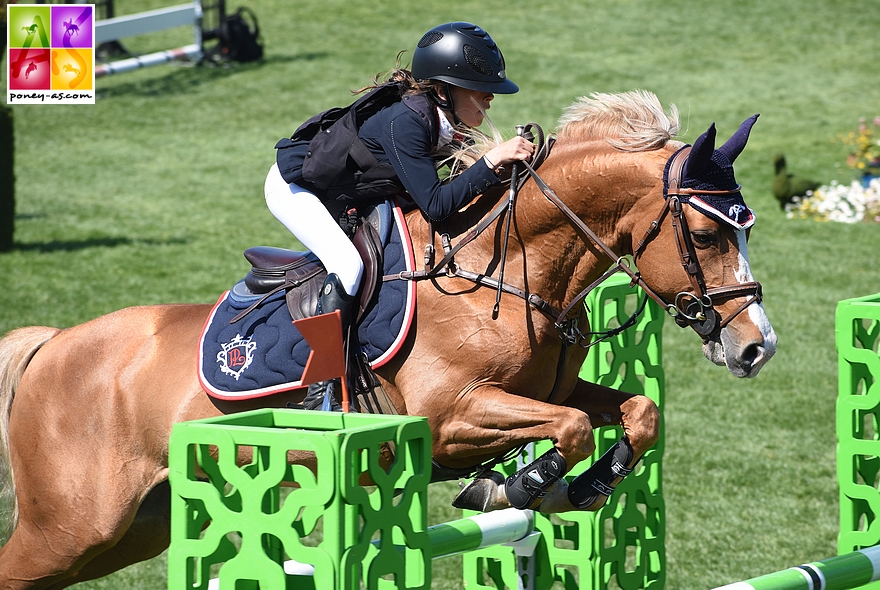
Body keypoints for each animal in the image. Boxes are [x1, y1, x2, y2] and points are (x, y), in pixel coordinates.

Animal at [0, 90, 772, 588]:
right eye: (706, 235)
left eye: (744, 229)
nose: (756, 347)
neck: (502, 272)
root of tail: (52, 345)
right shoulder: (449, 417)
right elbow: (572, 427)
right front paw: (520, 486)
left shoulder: (550, 389)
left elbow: (635, 412)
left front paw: (577, 487)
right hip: (71, 525)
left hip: (130, 529)